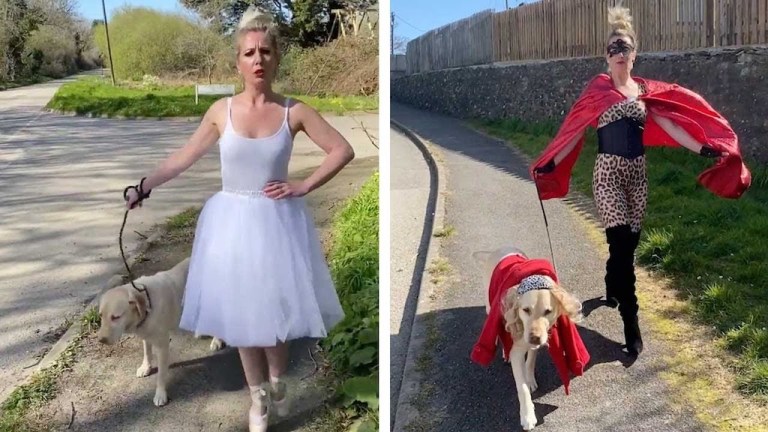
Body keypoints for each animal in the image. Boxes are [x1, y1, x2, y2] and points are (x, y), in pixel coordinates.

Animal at [94, 258, 224, 406]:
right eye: (101, 316)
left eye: (116, 317)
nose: (101, 340)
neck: (147, 303)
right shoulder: (145, 333)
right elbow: (147, 352)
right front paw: (145, 367)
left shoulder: (162, 345)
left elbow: (161, 375)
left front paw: (160, 394)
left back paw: (217, 340)